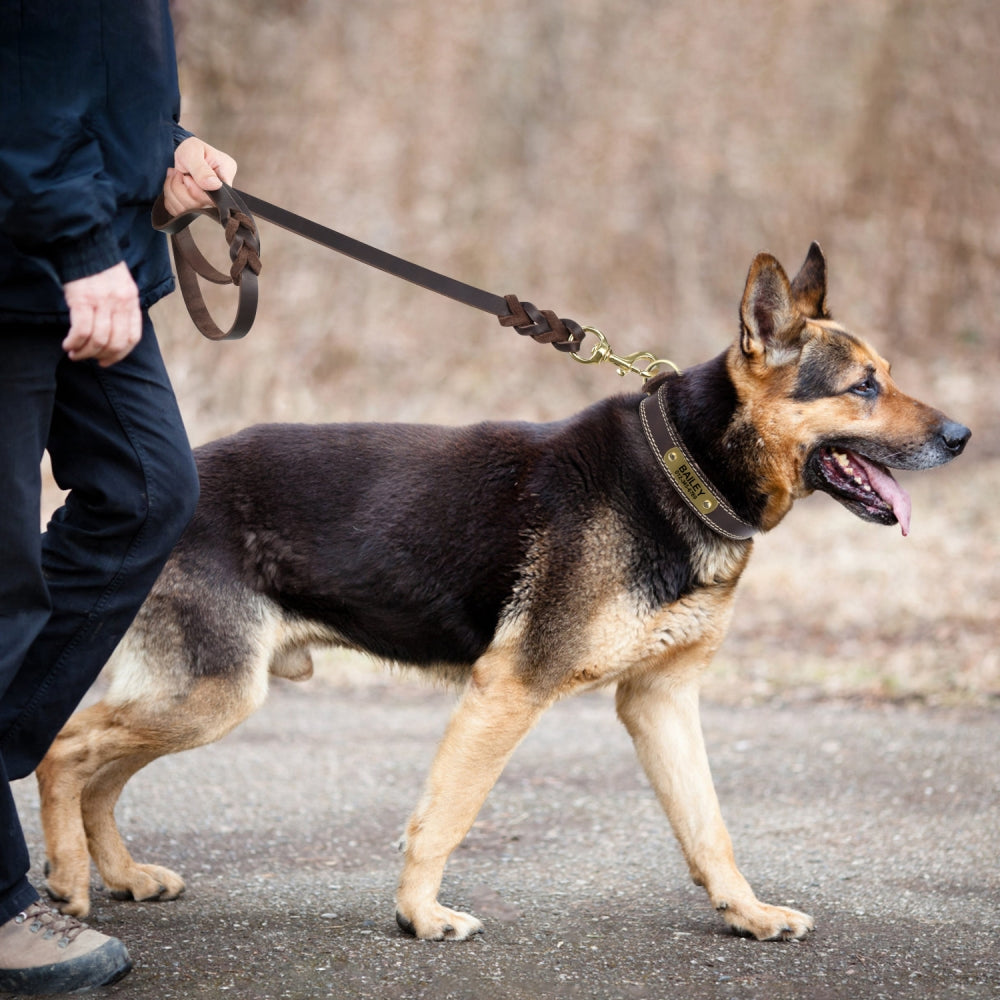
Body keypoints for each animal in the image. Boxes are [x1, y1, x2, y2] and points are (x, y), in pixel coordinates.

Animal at [37, 242, 968, 936]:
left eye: (887, 375)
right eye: (863, 387)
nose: (962, 435)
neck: (682, 465)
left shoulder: (660, 702)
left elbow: (709, 828)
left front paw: (747, 913)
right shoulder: (509, 690)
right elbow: (446, 816)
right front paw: (420, 916)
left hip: (202, 697)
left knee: (101, 773)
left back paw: (119, 874)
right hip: (215, 693)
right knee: (66, 748)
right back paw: (70, 881)